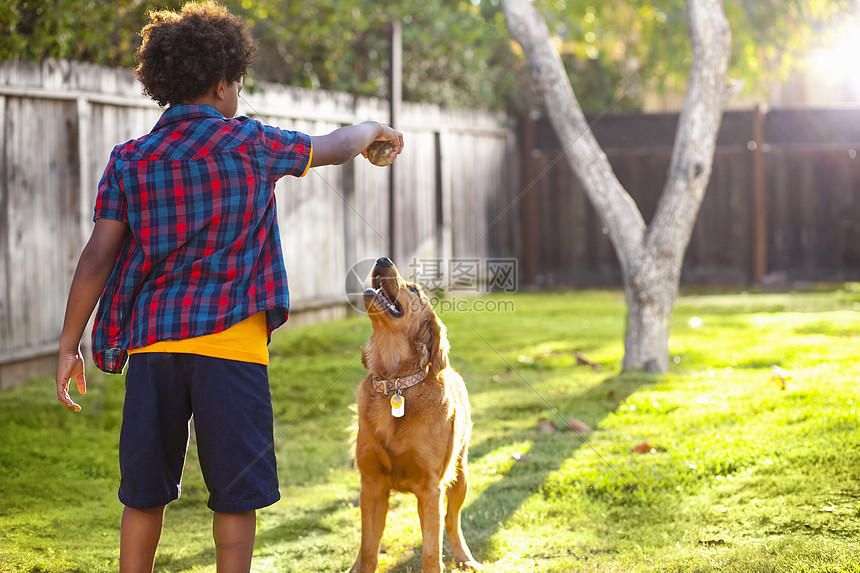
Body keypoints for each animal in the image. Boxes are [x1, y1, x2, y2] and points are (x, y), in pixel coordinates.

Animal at [352, 260, 484, 572]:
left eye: (413, 290)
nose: (383, 259)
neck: (396, 383)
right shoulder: (371, 486)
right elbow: (368, 550)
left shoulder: (430, 488)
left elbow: (431, 552)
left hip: (460, 475)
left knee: (452, 520)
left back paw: (465, 558)